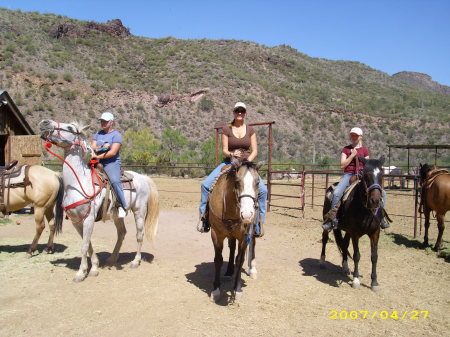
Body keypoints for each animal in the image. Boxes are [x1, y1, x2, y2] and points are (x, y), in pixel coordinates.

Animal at [38, 118, 160, 280]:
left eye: (69, 127)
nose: (45, 122)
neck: (79, 183)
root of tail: (143, 177)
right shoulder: (77, 221)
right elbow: (88, 244)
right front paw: (93, 267)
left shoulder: (89, 218)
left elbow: (84, 246)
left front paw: (81, 273)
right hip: (117, 216)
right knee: (121, 233)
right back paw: (112, 259)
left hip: (139, 211)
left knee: (139, 235)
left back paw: (135, 261)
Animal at [207, 159, 264, 300]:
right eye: (237, 182)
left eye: (257, 182)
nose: (247, 215)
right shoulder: (216, 234)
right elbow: (218, 259)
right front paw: (216, 290)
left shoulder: (244, 236)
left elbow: (240, 260)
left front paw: (237, 289)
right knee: (232, 247)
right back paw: (229, 272)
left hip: (252, 230)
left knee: (253, 244)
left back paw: (252, 270)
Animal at [320, 156, 386, 290]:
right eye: (366, 174)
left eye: (382, 174)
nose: (375, 201)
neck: (366, 211)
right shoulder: (355, 233)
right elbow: (357, 255)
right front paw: (356, 280)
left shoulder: (375, 233)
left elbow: (374, 256)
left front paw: (374, 282)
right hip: (327, 223)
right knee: (324, 239)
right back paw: (322, 261)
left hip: (347, 230)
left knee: (344, 244)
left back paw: (345, 267)